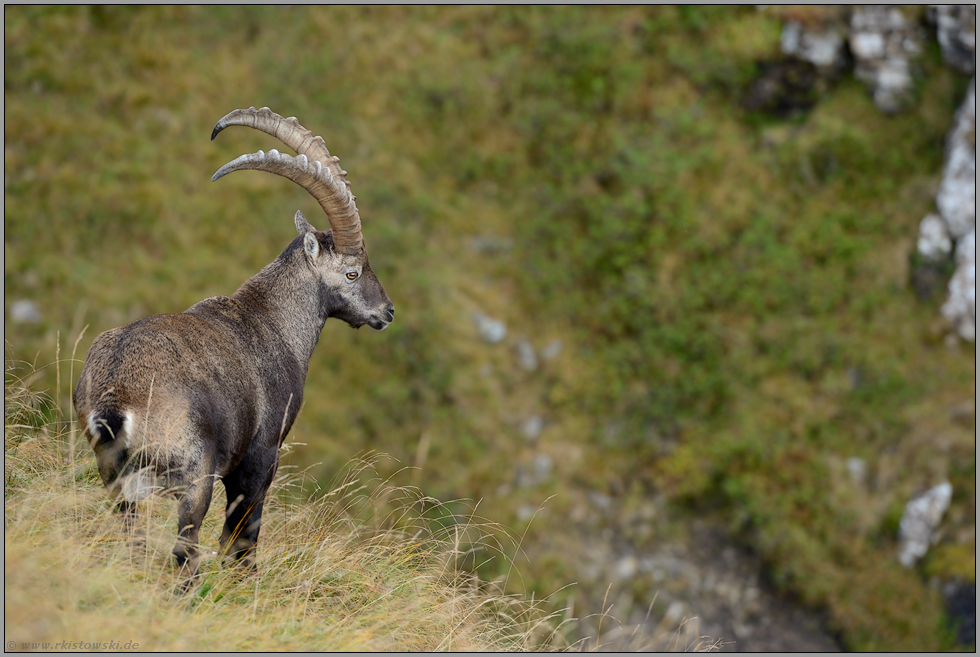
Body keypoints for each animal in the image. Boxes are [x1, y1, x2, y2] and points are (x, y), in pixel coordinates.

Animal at [72, 107, 394, 586]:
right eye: (352, 272)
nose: (386, 312)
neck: (274, 321)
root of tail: (116, 398)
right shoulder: (260, 457)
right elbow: (243, 533)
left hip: (114, 477)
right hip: (193, 478)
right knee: (185, 547)